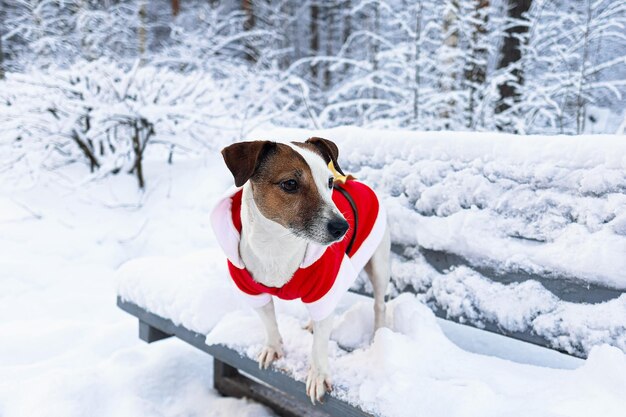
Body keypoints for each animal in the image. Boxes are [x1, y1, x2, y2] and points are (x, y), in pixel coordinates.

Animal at [213, 136, 390, 404]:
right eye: (290, 184)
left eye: (329, 182)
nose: (342, 227)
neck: (277, 244)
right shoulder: (253, 290)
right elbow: (269, 321)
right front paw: (273, 348)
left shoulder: (325, 285)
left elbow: (319, 345)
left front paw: (318, 375)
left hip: (378, 262)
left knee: (379, 304)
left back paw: (378, 335)